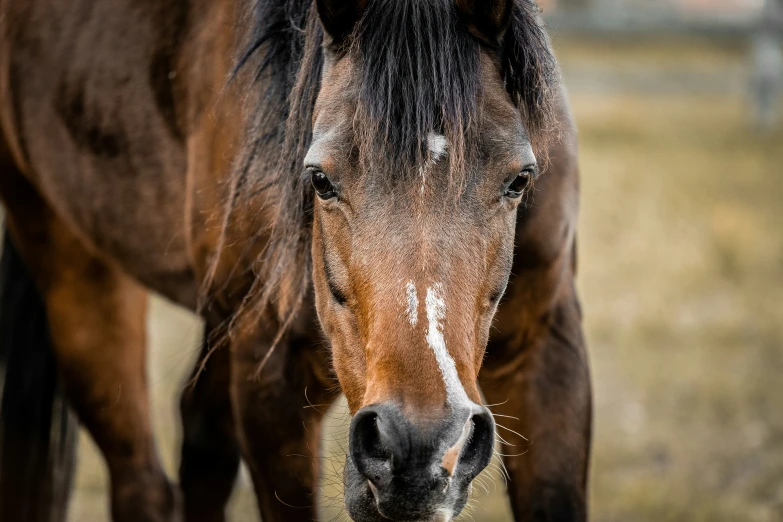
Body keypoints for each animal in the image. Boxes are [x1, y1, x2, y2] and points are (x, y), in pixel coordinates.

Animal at [0, 0, 592, 516]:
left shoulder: (546, 345)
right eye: (321, 180)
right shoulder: (272, 375)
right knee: (141, 481)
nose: (422, 445)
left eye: (520, 179)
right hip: (76, 270)